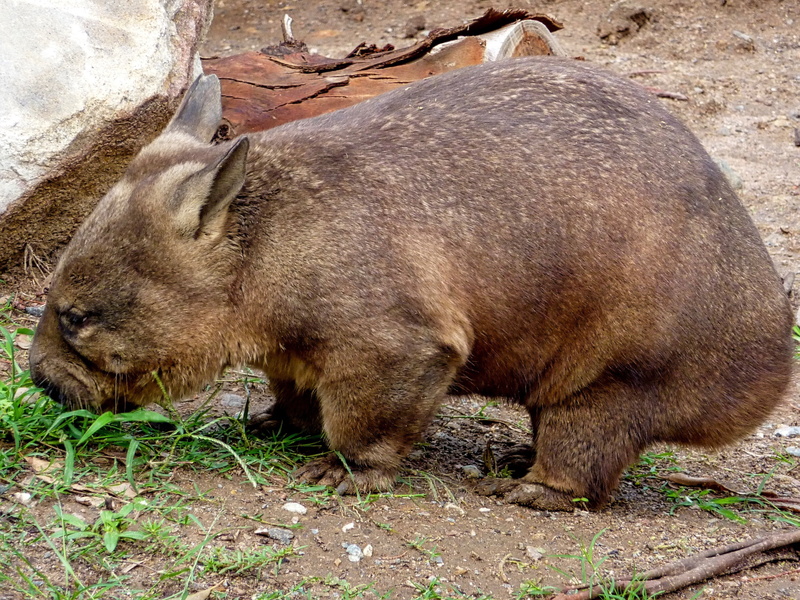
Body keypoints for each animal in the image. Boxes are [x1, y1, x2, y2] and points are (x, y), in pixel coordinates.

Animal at [29, 56, 794, 510]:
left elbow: (373, 397)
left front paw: (342, 471)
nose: (39, 381)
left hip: (642, 348)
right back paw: (517, 455)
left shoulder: (390, 330)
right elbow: (293, 380)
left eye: (76, 318)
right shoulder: (290, 338)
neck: (261, 249)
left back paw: (535, 490)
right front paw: (272, 423)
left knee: (594, 422)